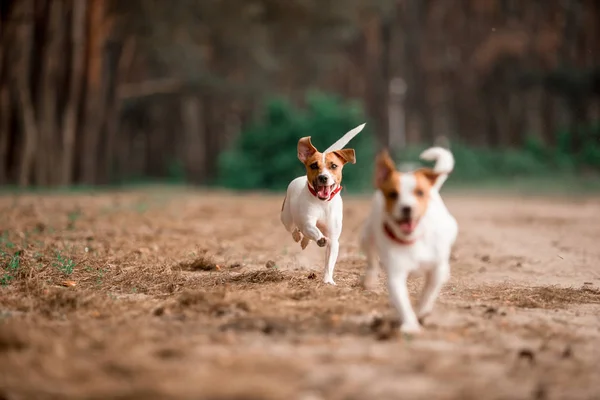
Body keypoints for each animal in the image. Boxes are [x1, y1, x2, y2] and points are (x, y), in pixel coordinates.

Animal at [278, 124, 364, 284]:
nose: (323, 177)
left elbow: (329, 263)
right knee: (294, 229)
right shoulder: (308, 222)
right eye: (313, 165)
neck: (323, 203)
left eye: (334, 166)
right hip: (286, 218)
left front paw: (328, 281)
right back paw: (298, 237)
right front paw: (319, 238)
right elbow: (313, 230)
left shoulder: (334, 239)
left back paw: (305, 242)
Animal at [358, 145, 458, 332]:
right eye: (393, 194)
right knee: (372, 261)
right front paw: (410, 324)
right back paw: (369, 279)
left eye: (420, 192)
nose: (407, 208)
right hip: (366, 237)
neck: (413, 240)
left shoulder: (435, 270)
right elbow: (402, 302)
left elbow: (429, 292)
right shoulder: (396, 275)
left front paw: (422, 310)